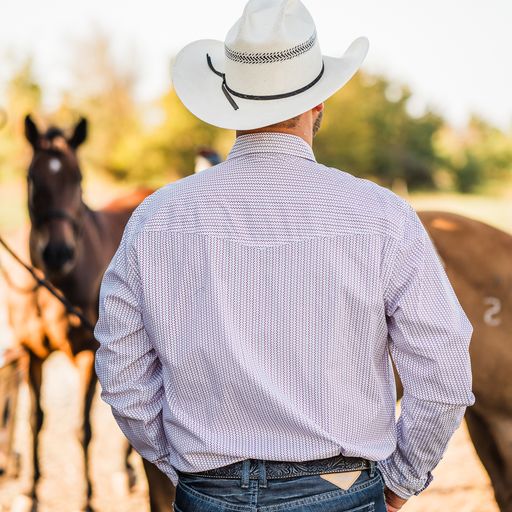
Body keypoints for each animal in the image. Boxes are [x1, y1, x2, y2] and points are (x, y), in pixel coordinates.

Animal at [23, 116, 175, 512]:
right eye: (33, 178)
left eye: (77, 178)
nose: (58, 253)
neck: (57, 286)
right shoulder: (32, 355)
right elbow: (35, 421)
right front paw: (30, 492)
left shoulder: (87, 356)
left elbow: (83, 429)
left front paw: (87, 499)